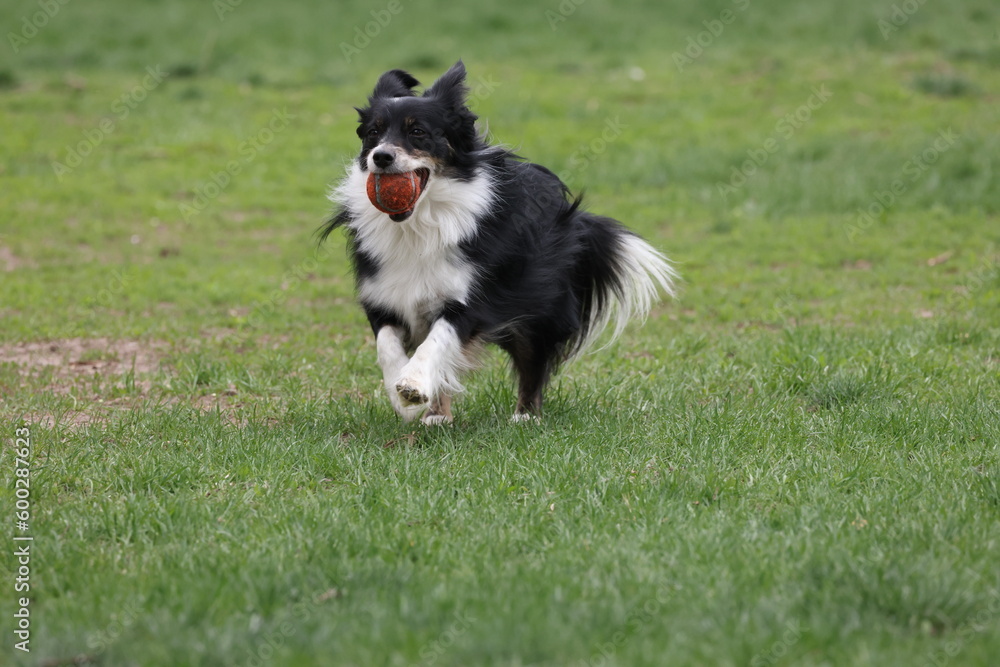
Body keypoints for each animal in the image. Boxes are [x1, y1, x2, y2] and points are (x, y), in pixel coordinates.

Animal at [324, 64, 676, 428]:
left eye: (418, 131)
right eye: (373, 134)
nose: (380, 157)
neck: (418, 222)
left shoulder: (470, 298)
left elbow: (438, 340)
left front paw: (413, 383)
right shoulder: (383, 294)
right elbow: (387, 345)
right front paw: (402, 395)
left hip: (538, 301)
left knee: (532, 358)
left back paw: (525, 415)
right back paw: (439, 416)